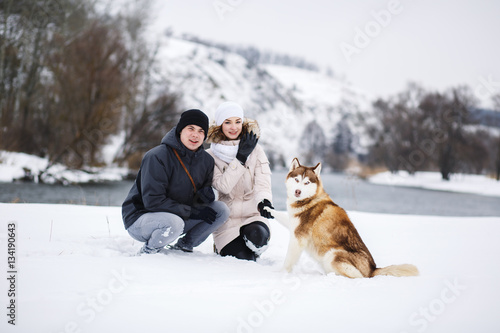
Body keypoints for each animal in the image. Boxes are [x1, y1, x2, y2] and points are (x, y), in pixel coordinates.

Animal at [266, 158, 418, 278]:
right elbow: (280, 216)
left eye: (307, 183)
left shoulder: (298, 238)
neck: (309, 200)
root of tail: (373, 269)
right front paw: (267, 209)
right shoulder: (293, 224)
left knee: (357, 277)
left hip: (333, 254)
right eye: (297, 179)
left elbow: (288, 261)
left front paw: (280, 274)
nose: (298, 191)